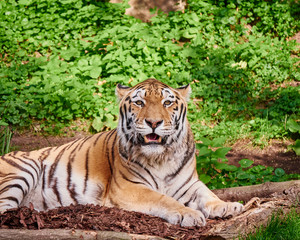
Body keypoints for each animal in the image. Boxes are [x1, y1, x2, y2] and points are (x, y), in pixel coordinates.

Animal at [0, 79, 243, 227]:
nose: (153, 122)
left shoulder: (190, 184)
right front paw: (189, 214)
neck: (161, 158)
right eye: (139, 102)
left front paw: (227, 206)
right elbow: (163, 199)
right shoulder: (128, 187)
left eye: (167, 102)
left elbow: (208, 194)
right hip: (24, 170)